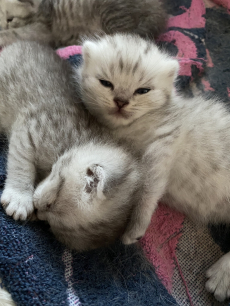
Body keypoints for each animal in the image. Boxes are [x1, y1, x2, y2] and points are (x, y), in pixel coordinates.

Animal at [0, 40, 143, 251]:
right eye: (50, 203)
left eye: (49, 222)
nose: (38, 209)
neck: (76, 141)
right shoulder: (32, 127)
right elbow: (21, 163)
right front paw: (19, 197)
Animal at [78, 34, 230, 302]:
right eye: (106, 83)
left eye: (143, 91)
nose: (121, 101)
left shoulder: (164, 145)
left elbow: (148, 191)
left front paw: (135, 228)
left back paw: (221, 276)